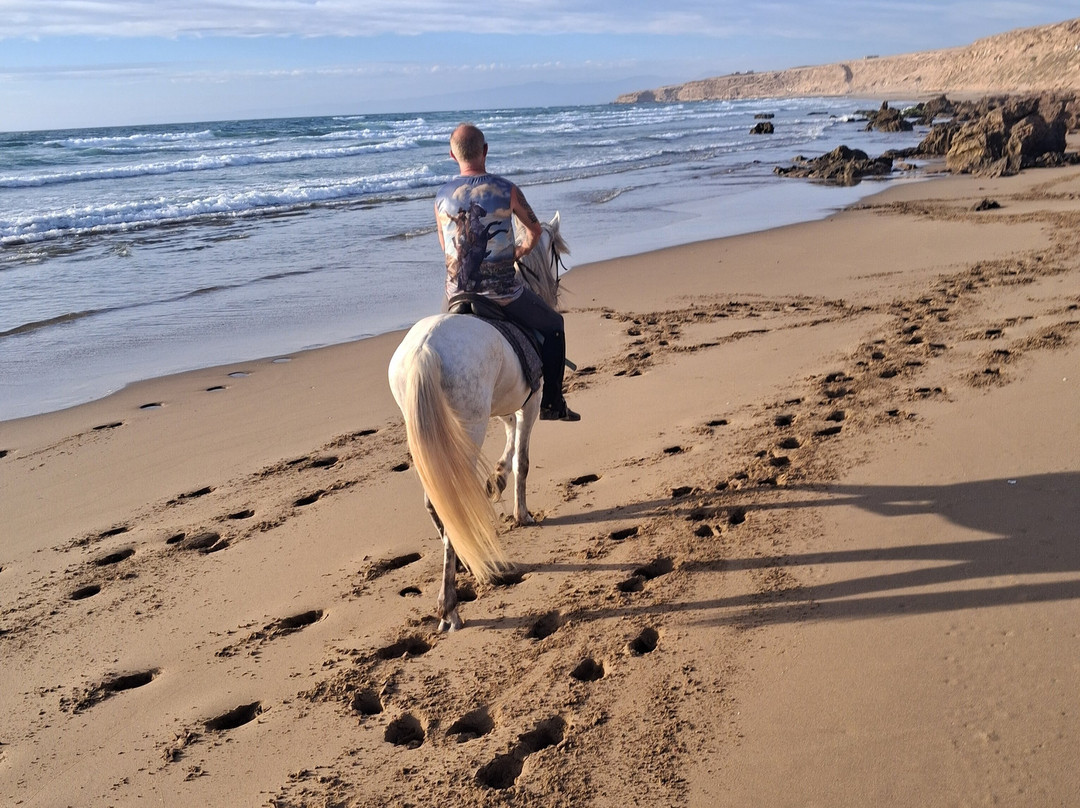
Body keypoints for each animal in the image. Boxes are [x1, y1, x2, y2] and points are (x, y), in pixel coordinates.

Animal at [387, 213, 569, 631]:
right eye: (554, 252)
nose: (555, 290)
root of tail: (424, 351)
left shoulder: (508, 403)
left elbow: (510, 447)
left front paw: (496, 480)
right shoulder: (532, 401)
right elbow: (522, 460)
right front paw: (522, 513)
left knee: (438, 503)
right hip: (467, 430)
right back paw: (450, 606)